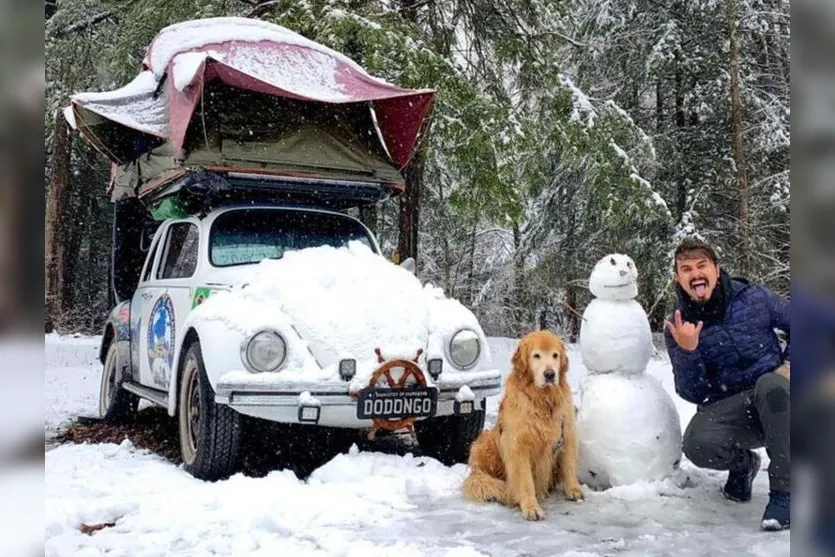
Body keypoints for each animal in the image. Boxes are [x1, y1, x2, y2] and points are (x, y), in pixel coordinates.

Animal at [464, 328, 580, 520]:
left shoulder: (567, 432)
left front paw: (574, 490)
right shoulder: (518, 446)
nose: (550, 374)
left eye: (555, 355)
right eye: (536, 356)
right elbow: (525, 481)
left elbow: (569, 465)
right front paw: (531, 507)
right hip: (483, 442)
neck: (543, 401)